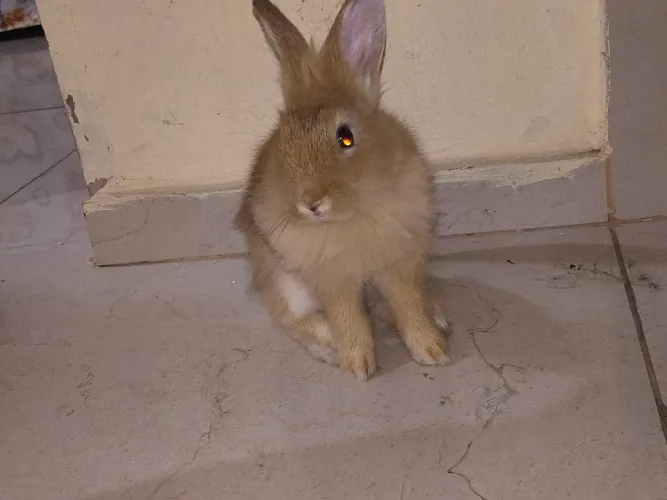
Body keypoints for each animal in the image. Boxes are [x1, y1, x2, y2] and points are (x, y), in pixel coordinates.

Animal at [236, 0, 450, 380]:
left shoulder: (400, 263)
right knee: (288, 316)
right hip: (287, 281)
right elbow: (348, 318)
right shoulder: (332, 279)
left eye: (345, 136)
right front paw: (358, 366)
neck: (354, 214)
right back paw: (327, 345)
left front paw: (431, 350)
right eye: (283, 138)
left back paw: (436, 314)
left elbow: (408, 305)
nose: (310, 203)